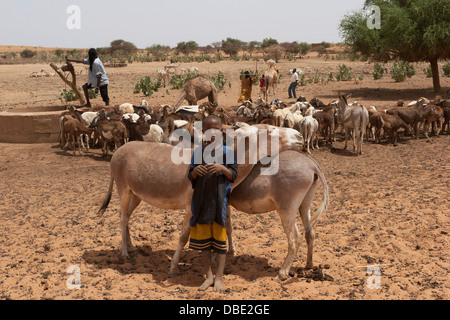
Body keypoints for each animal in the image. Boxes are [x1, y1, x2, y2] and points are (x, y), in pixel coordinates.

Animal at [98, 125, 328, 280]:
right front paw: (174, 267)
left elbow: (222, 230)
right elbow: (184, 236)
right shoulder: (193, 207)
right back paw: (125, 253)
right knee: (122, 218)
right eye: (271, 129)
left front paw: (220, 257)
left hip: (135, 193)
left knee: (126, 217)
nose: (300, 135)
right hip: (124, 188)